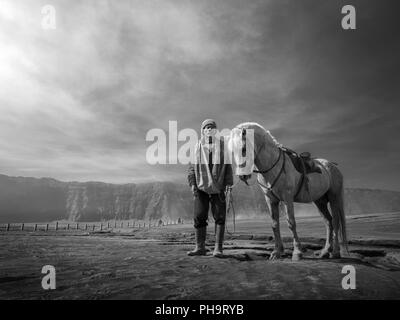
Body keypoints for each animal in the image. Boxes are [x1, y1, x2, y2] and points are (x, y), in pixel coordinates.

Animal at [228, 122, 346, 260]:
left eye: (244, 149)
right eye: (232, 151)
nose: (242, 176)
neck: (273, 166)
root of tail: (332, 166)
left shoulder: (287, 198)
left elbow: (291, 223)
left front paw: (297, 252)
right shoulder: (271, 200)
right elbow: (274, 224)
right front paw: (277, 252)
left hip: (334, 197)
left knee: (336, 222)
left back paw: (336, 252)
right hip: (320, 201)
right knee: (328, 222)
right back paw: (325, 251)